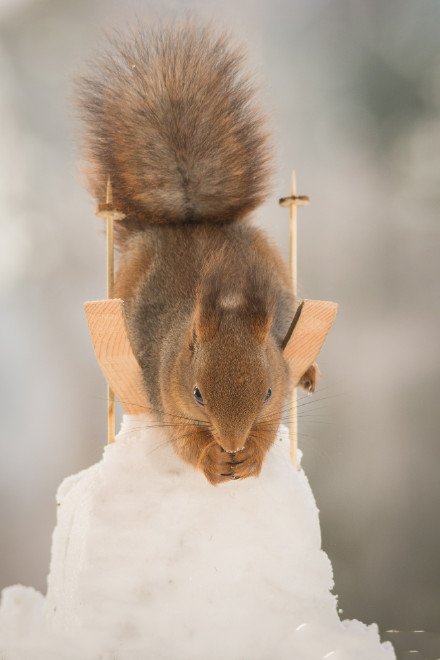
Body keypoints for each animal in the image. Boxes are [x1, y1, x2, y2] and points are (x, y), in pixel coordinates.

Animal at [76, 23, 316, 484]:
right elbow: (185, 444)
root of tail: (191, 221)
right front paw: (212, 460)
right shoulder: (169, 395)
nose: (233, 444)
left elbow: (268, 430)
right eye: (197, 394)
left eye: (268, 392)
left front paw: (251, 456)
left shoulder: (276, 389)